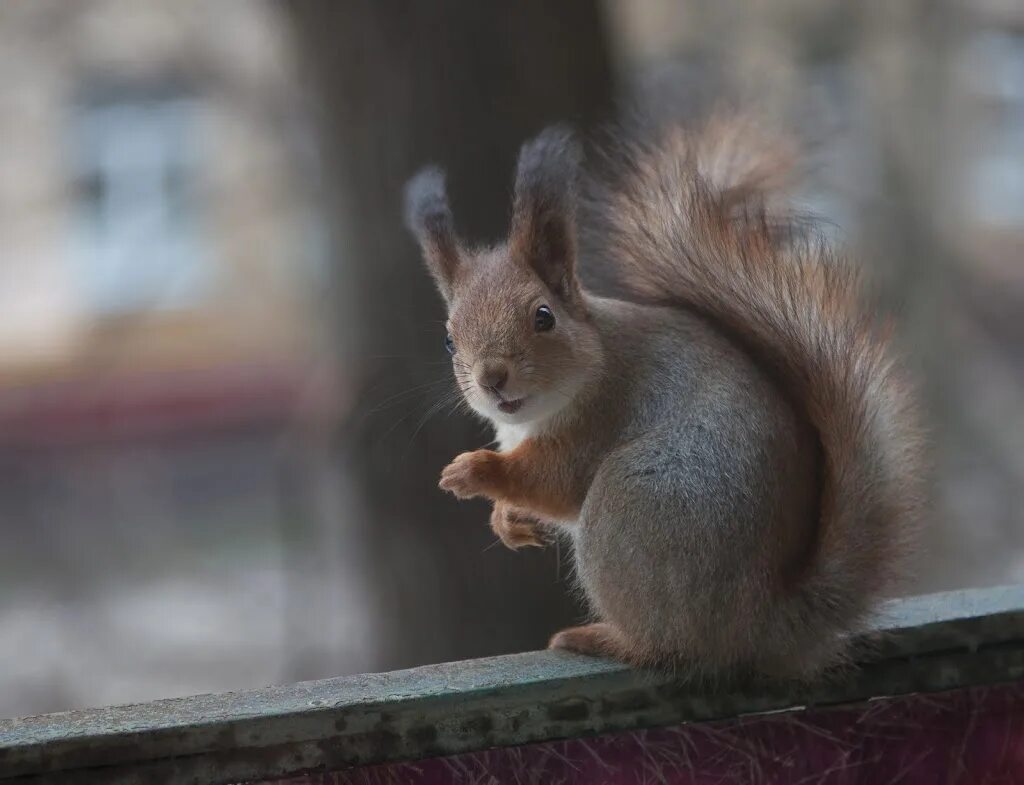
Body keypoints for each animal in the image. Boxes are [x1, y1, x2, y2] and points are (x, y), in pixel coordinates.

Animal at [403, 112, 925, 679]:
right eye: (449, 338)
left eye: (544, 317)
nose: (492, 378)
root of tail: (763, 623)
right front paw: (506, 520)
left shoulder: (603, 413)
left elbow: (554, 479)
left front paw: (474, 472)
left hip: (634, 505)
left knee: (671, 647)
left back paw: (603, 638)